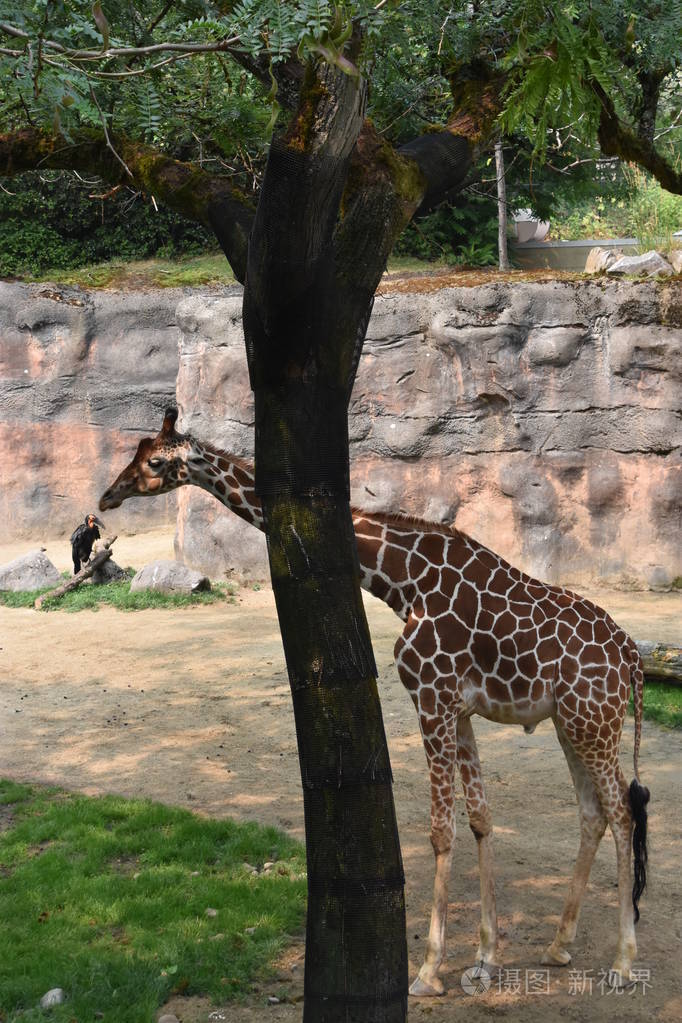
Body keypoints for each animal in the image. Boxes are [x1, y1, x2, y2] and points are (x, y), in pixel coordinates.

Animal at [101, 405, 650, 990]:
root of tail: (632, 658)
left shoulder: (431, 697)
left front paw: (429, 969)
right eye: (137, 452)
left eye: (156, 462)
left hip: (594, 722)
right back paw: (559, 945)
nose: (107, 496)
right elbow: (481, 818)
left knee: (621, 811)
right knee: (593, 812)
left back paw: (622, 962)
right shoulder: (459, 709)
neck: (401, 582)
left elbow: (440, 831)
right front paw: (484, 958)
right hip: (573, 723)